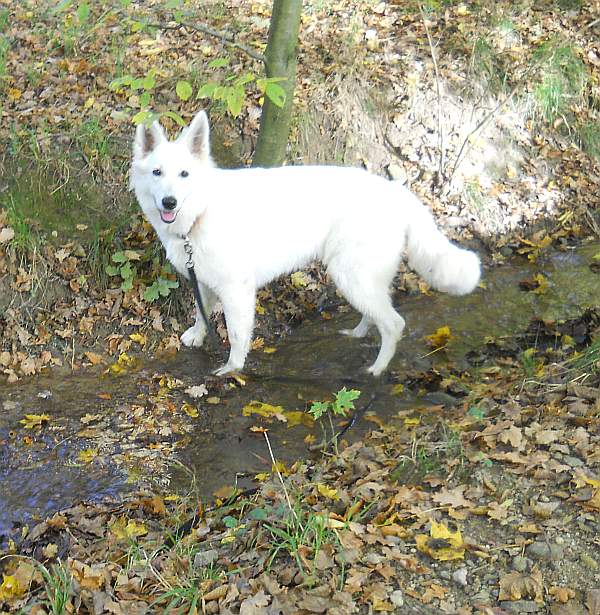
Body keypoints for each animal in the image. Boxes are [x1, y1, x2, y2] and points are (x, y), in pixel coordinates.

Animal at [129, 113, 480, 378]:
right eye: (157, 172)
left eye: (184, 174)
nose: (169, 202)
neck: (200, 212)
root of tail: (397, 191)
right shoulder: (201, 279)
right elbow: (201, 314)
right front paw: (197, 336)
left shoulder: (236, 290)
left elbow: (238, 334)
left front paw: (233, 368)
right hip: (359, 278)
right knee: (377, 313)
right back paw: (358, 334)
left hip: (350, 275)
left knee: (394, 323)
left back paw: (377, 369)